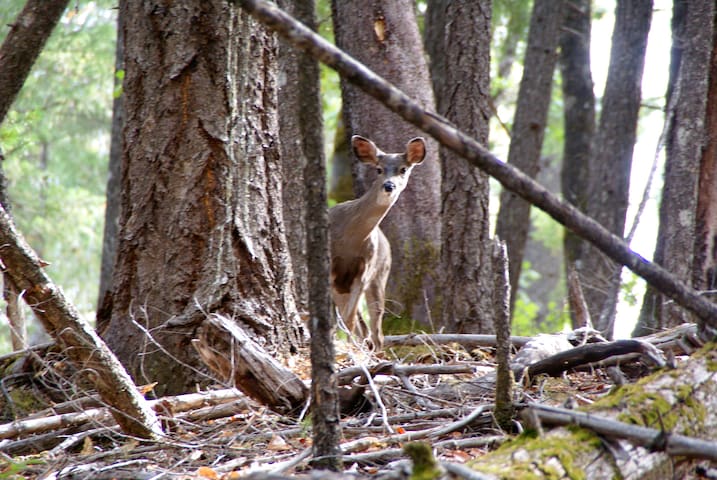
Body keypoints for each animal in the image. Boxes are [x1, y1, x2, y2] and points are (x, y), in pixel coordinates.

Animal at [328, 135, 426, 348]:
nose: (389, 186)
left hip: (381, 274)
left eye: (403, 169)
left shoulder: (365, 270)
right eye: (379, 169)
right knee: (363, 327)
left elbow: (349, 320)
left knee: (374, 330)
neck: (349, 240)